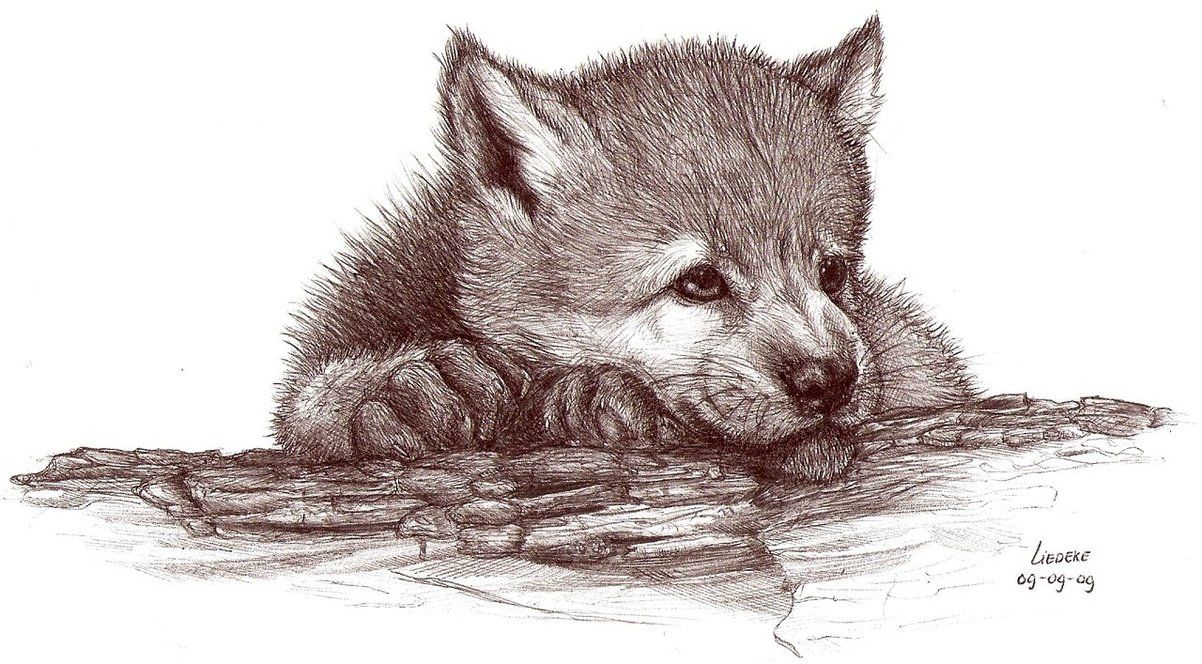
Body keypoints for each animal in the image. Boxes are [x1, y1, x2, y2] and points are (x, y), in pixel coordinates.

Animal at [272, 16, 977, 482]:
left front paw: (592, 397)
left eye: (832, 273)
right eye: (699, 281)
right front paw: (394, 390)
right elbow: (311, 404)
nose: (831, 381)